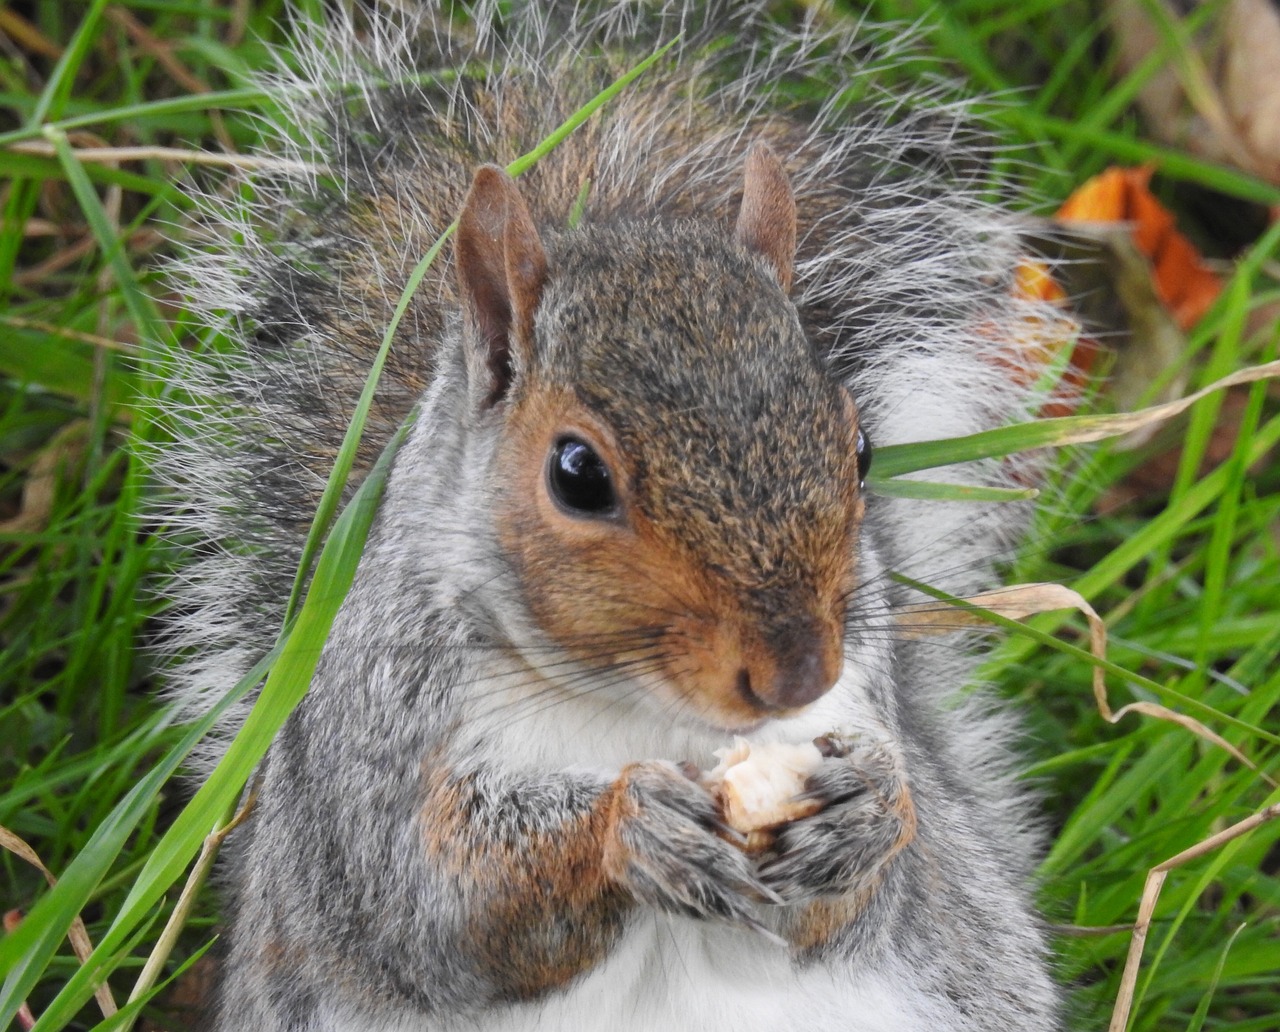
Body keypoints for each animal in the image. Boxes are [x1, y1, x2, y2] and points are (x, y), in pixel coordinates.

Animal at [149, 2, 1070, 1032]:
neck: (639, 708)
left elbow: (859, 911)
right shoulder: (375, 748)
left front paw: (871, 812)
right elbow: (442, 908)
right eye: (578, 475)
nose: (798, 675)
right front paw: (632, 827)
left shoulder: (859, 699)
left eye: (860, 447)